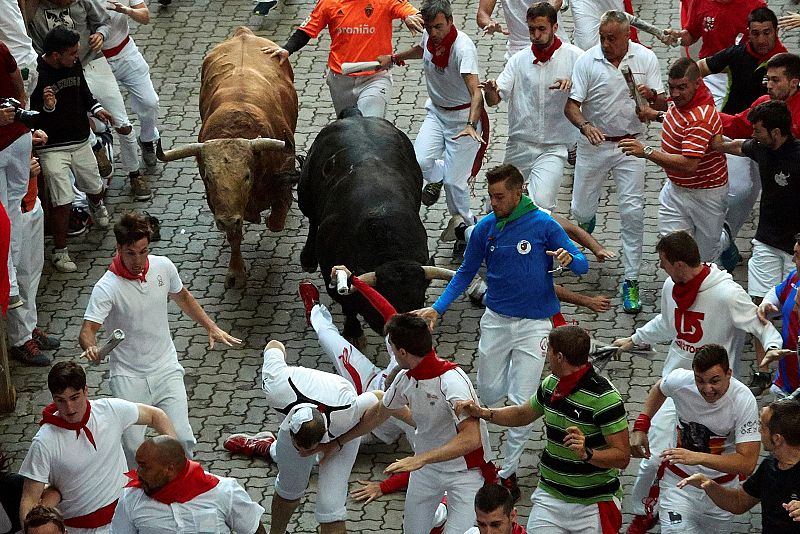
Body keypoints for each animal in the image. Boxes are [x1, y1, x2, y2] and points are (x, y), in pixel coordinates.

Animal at [156, 26, 296, 288]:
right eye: (209, 178)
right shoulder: (219, 207)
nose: (229, 220)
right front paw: (236, 271)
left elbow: (276, 220)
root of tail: (244, 33)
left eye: (247, 176)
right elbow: (234, 236)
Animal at [298, 116, 438, 344]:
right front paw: (353, 332)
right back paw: (308, 258)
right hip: (305, 192)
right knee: (311, 218)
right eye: (381, 299)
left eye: (419, 298)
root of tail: (355, 116)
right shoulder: (331, 271)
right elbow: (347, 303)